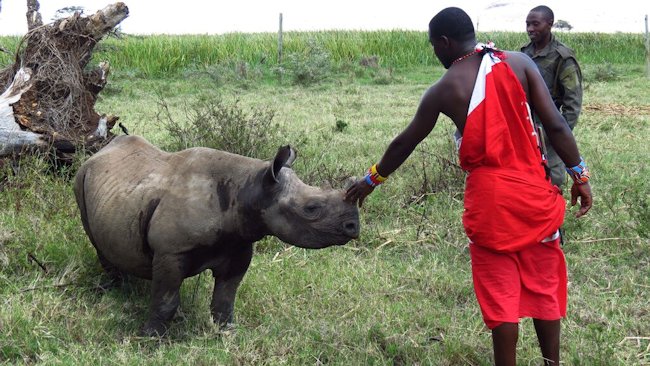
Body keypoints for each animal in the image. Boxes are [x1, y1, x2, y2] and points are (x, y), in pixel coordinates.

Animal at [76, 136, 360, 336]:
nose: (353, 226)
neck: (250, 187)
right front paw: (149, 337)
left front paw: (227, 332)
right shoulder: (171, 251)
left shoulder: (239, 245)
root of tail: (100, 151)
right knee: (93, 235)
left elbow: (225, 298)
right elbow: (166, 300)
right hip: (81, 177)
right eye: (311, 208)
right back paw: (116, 288)